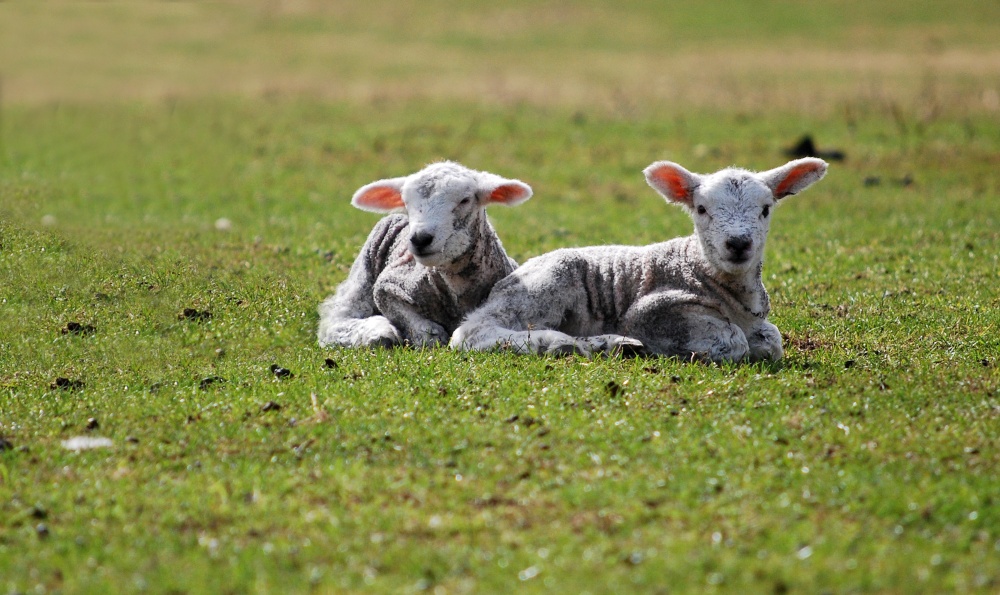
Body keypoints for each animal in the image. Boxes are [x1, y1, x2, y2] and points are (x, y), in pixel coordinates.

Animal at [318, 161, 533, 348]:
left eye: (465, 200)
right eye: (406, 202)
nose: (420, 238)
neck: (458, 290)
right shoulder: (388, 285)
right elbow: (408, 318)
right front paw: (427, 333)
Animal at [450, 158, 828, 363]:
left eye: (765, 210)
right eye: (701, 209)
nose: (737, 244)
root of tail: (511, 275)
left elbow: (772, 340)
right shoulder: (651, 311)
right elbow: (734, 341)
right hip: (544, 286)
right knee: (473, 331)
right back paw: (573, 343)